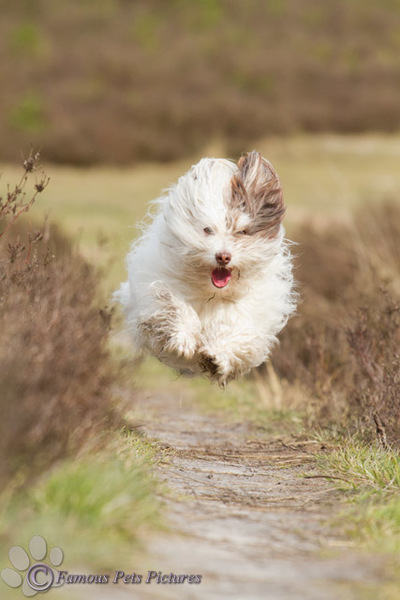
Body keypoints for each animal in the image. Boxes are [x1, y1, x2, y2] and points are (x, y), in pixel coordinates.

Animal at [115, 150, 296, 384]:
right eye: (208, 230)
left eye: (242, 232)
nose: (223, 257)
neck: (212, 293)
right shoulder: (161, 289)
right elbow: (175, 306)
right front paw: (183, 338)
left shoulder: (251, 314)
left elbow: (236, 330)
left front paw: (217, 357)